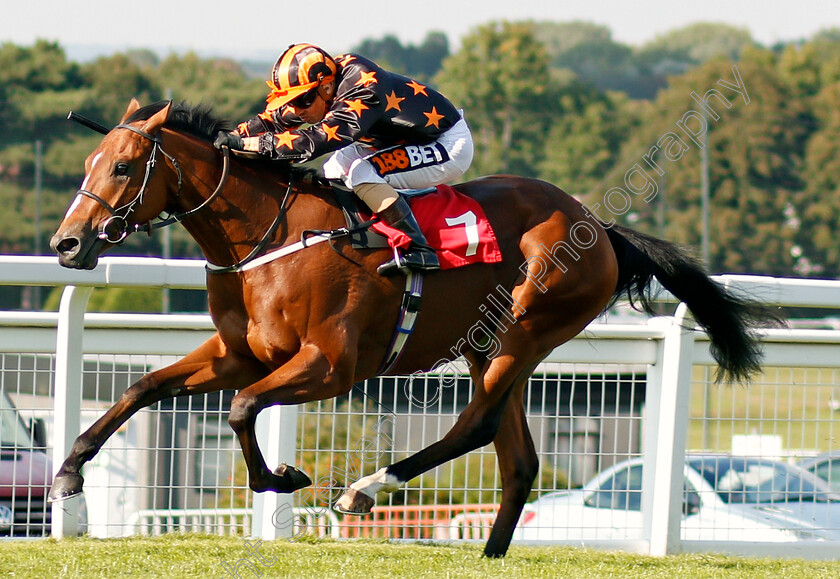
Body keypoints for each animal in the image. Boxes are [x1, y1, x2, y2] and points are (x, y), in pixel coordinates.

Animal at [49, 99, 776, 556]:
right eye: (86, 164)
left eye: (121, 167)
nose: (66, 244)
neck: (269, 237)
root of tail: (600, 226)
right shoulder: (242, 352)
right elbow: (141, 388)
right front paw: (69, 476)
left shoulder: (331, 364)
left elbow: (241, 408)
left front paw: (282, 477)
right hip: (493, 345)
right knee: (518, 457)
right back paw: (487, 553)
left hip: (526, 329)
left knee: (477, 426)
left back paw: (364, 490)